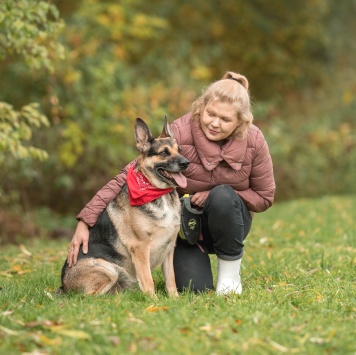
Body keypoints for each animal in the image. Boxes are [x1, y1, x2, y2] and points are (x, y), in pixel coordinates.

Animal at [59, 118, 191, 298]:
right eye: (164, 153)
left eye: (180, 150)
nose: (186, 163)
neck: (158, 193)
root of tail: (63, 286)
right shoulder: (140, 248)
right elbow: (148, 281)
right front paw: (154, 300)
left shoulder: (169, 249)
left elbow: (171, 280)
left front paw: (174, 300)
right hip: (108, 269)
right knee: (87, 297)